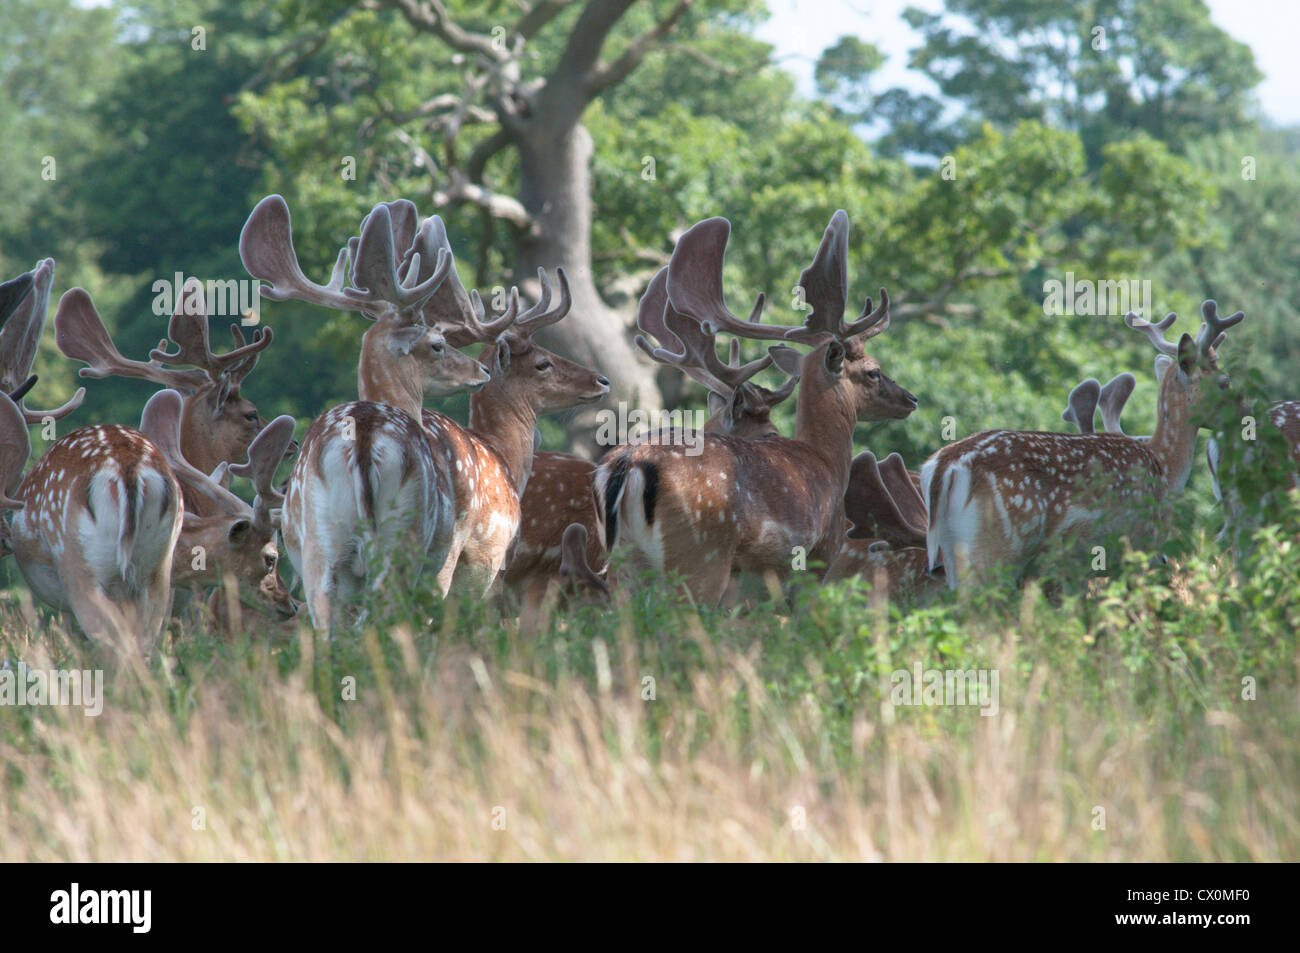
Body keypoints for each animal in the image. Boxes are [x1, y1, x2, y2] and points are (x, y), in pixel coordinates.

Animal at [595, 210, 920, 603]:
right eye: (873, 371)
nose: (910, 399)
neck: (827, 460)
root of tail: (630, 464)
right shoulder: (819, 555)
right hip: (700, 555)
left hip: (624, 564)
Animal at [920, 302, 1242, 587]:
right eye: (1225, 382)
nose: (1245, 411)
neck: (1163, 468)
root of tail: (943, 467)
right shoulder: (1139, 544)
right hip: (996, 546)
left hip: (952, 553)